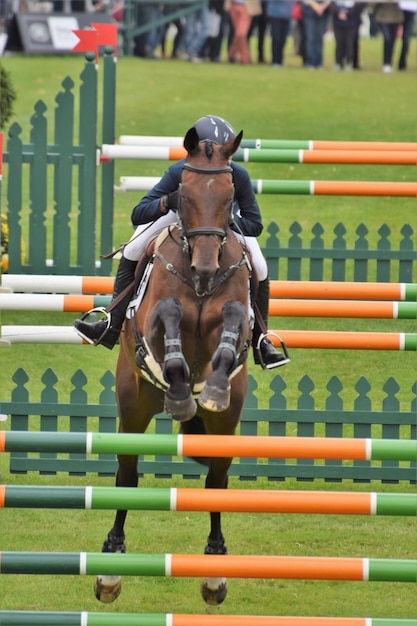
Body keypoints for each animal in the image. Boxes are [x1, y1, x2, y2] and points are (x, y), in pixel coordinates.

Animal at [93, 125, 250, 604]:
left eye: (230, 194)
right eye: (185, 191)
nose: (204, 268)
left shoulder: (232, 313)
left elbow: (231, 326)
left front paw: (211, 386)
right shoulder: (157, 318)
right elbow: (169, 316)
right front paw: (181, 389)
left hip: (226, 425)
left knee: (216, 482)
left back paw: (215, 572)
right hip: (133, 404)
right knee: (127, 474)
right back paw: (110, 567)